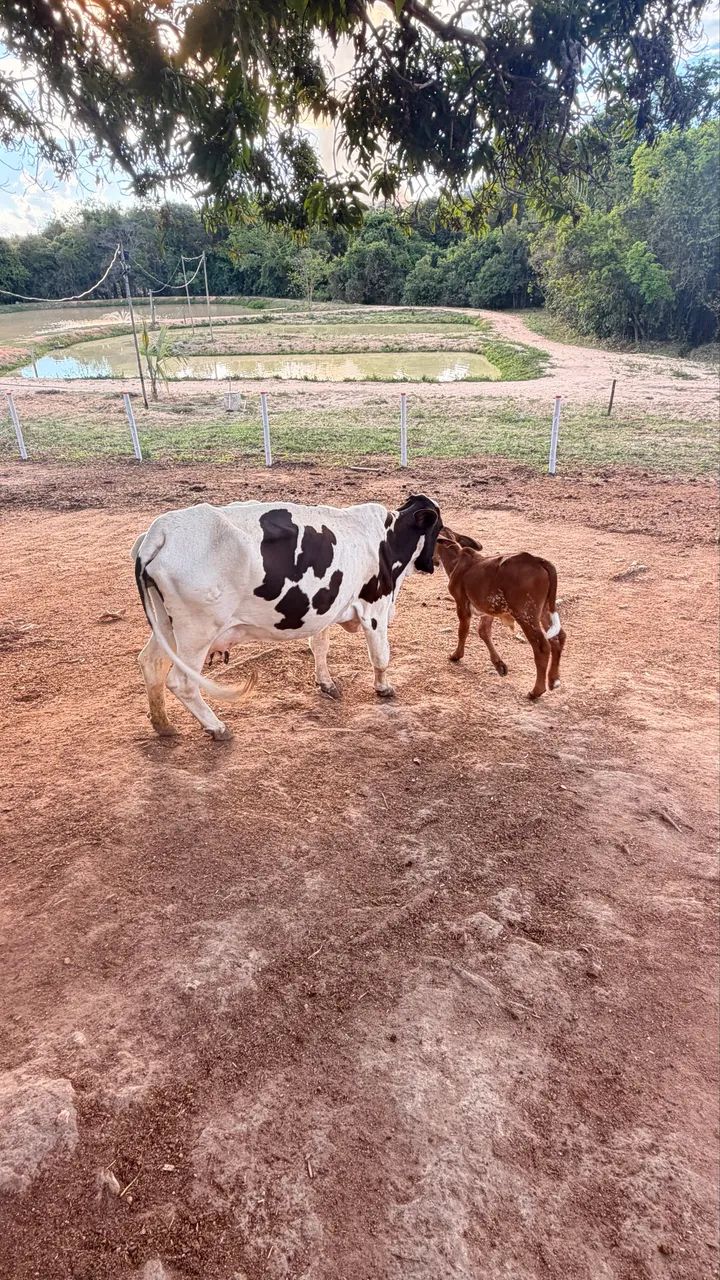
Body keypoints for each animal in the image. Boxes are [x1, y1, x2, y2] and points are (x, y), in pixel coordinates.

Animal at [132, 494, 442, 740]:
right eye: (438, 529)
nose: (434, 563)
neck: (386, 539)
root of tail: (160, 531)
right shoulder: (375, 608)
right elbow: (380, 655)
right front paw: (383, 687)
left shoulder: (323, 608)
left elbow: (319, 646)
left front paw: (326, 683)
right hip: (197, 632)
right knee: (182, 682)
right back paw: (216, 727)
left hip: (166, 626)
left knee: (151, 663)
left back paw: (163, 724)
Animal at [434, 526, 565, 700]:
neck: (456, 559)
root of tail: (538, 560)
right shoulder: (488, 609)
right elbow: (483, 631)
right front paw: (499, 665)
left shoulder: (461, 602)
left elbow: (463, 630)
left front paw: (456, 655)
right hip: (544, 610)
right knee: (559, 637)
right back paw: (553, 680)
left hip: (525, 613)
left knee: (543, 646)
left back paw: (536, 691)